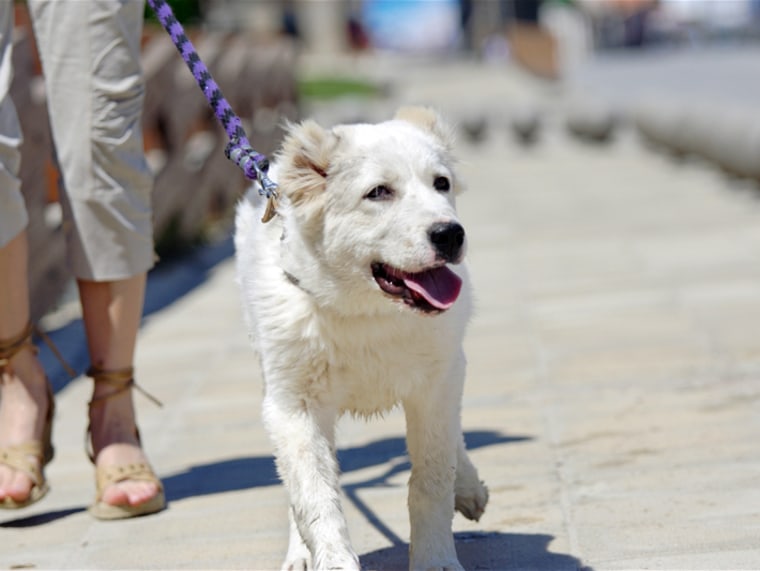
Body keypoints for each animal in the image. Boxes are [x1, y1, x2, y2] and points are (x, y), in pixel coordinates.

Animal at [235, 107, 490, 571]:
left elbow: (432, 476)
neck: (366, 312)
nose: (450, 234)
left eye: (441, 184)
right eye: (378, 193)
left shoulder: (435, 385)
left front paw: (435, 559)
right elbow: (314, 496)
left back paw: (468, 487)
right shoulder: (294, 407)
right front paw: (330, 559)